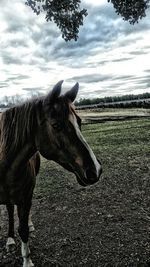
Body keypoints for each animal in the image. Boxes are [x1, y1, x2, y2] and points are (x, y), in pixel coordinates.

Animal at [0, 80, 102, 266]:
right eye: (56, 125)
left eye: (79, 122)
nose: (95, 170)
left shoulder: (26, 197)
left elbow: (23, 229)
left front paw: (27, 260)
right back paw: (10, 239)